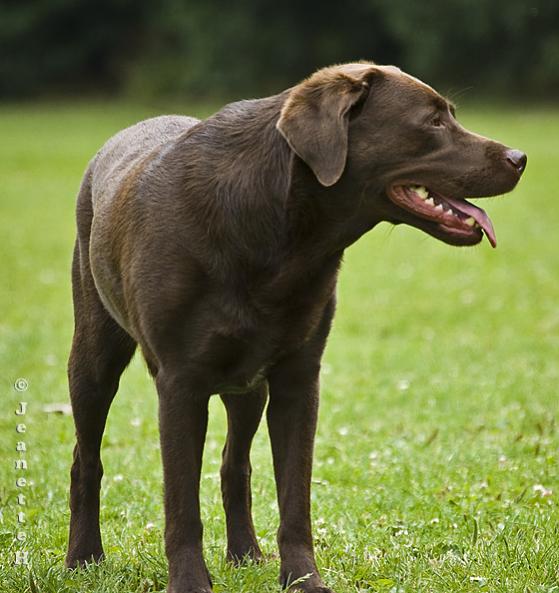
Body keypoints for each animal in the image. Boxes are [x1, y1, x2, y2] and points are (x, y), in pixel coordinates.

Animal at [65, 62, 524, 588]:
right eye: (432, 121)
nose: (520, 157)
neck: (280, 238)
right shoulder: (180, 384)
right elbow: (181, 505)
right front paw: (190, 583)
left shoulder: (298, 379)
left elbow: (294, 497)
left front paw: (304, 580)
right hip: (94, 356)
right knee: (86, 459)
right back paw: (83, 557)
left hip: (247, 386)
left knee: (235, 464)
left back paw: (245, 553)